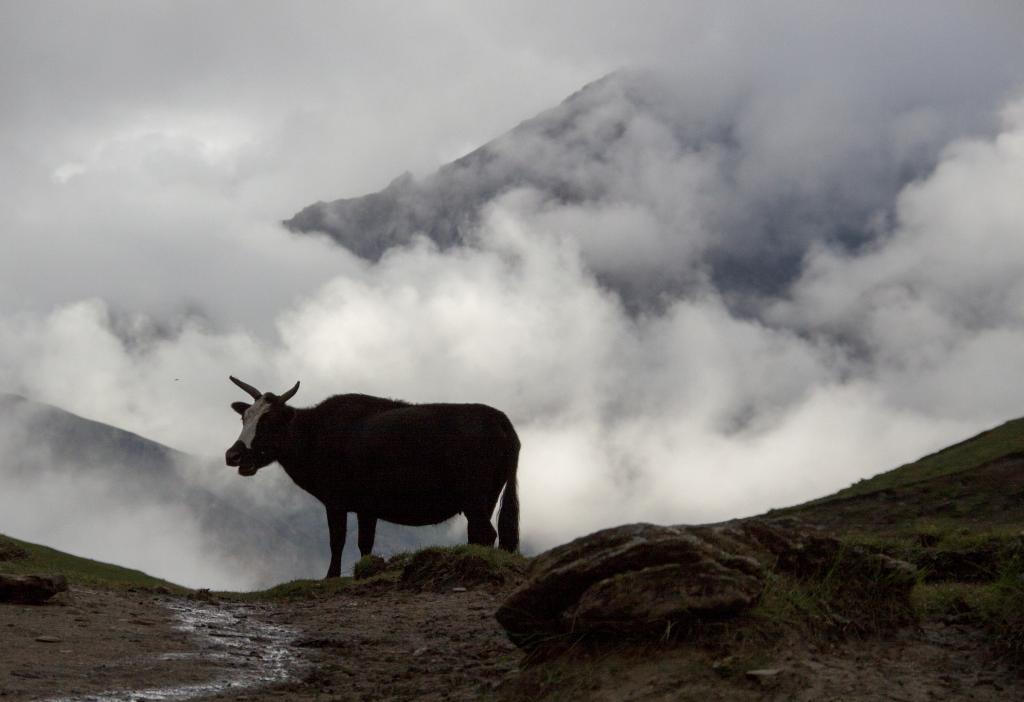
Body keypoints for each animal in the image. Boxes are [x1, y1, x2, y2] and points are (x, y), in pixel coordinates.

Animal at [220, 376, 516, 581]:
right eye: (245, 417)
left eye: (269, 423)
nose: (233, 455)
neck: (314, 433)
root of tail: (500, 418)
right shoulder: (367, 507)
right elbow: (365, 543)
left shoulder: (335, 502)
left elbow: (337, 539)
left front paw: (330, 576)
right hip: (486, 500)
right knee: (478, 534)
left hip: (475, 500)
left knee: (487, 534)